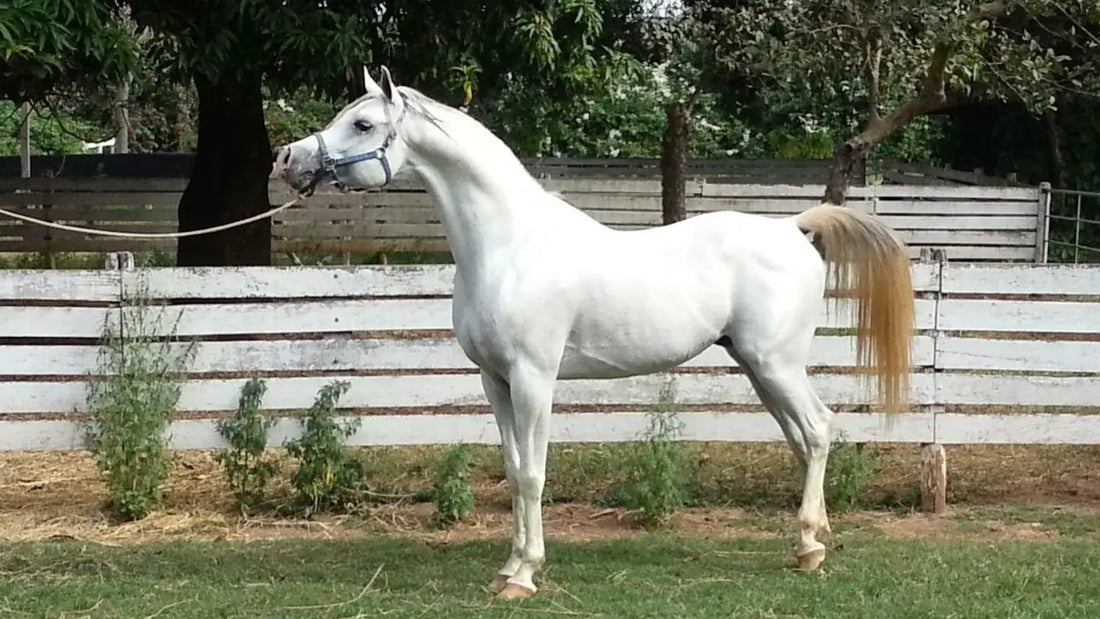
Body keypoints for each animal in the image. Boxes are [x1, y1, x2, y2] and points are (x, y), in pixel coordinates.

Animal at [272, 67, 915, 600]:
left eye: (362, 123)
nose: (287, 159)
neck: (508, 246)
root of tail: (793, 228)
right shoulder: (494, 382)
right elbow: (513, 471)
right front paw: (507, 567)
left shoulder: (534, 379)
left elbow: (534, 474)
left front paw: (525, 576)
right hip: (757, 367)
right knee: (804, 438)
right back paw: (813, 538)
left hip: (776, 364)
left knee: (819, 430)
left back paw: (808, 547)